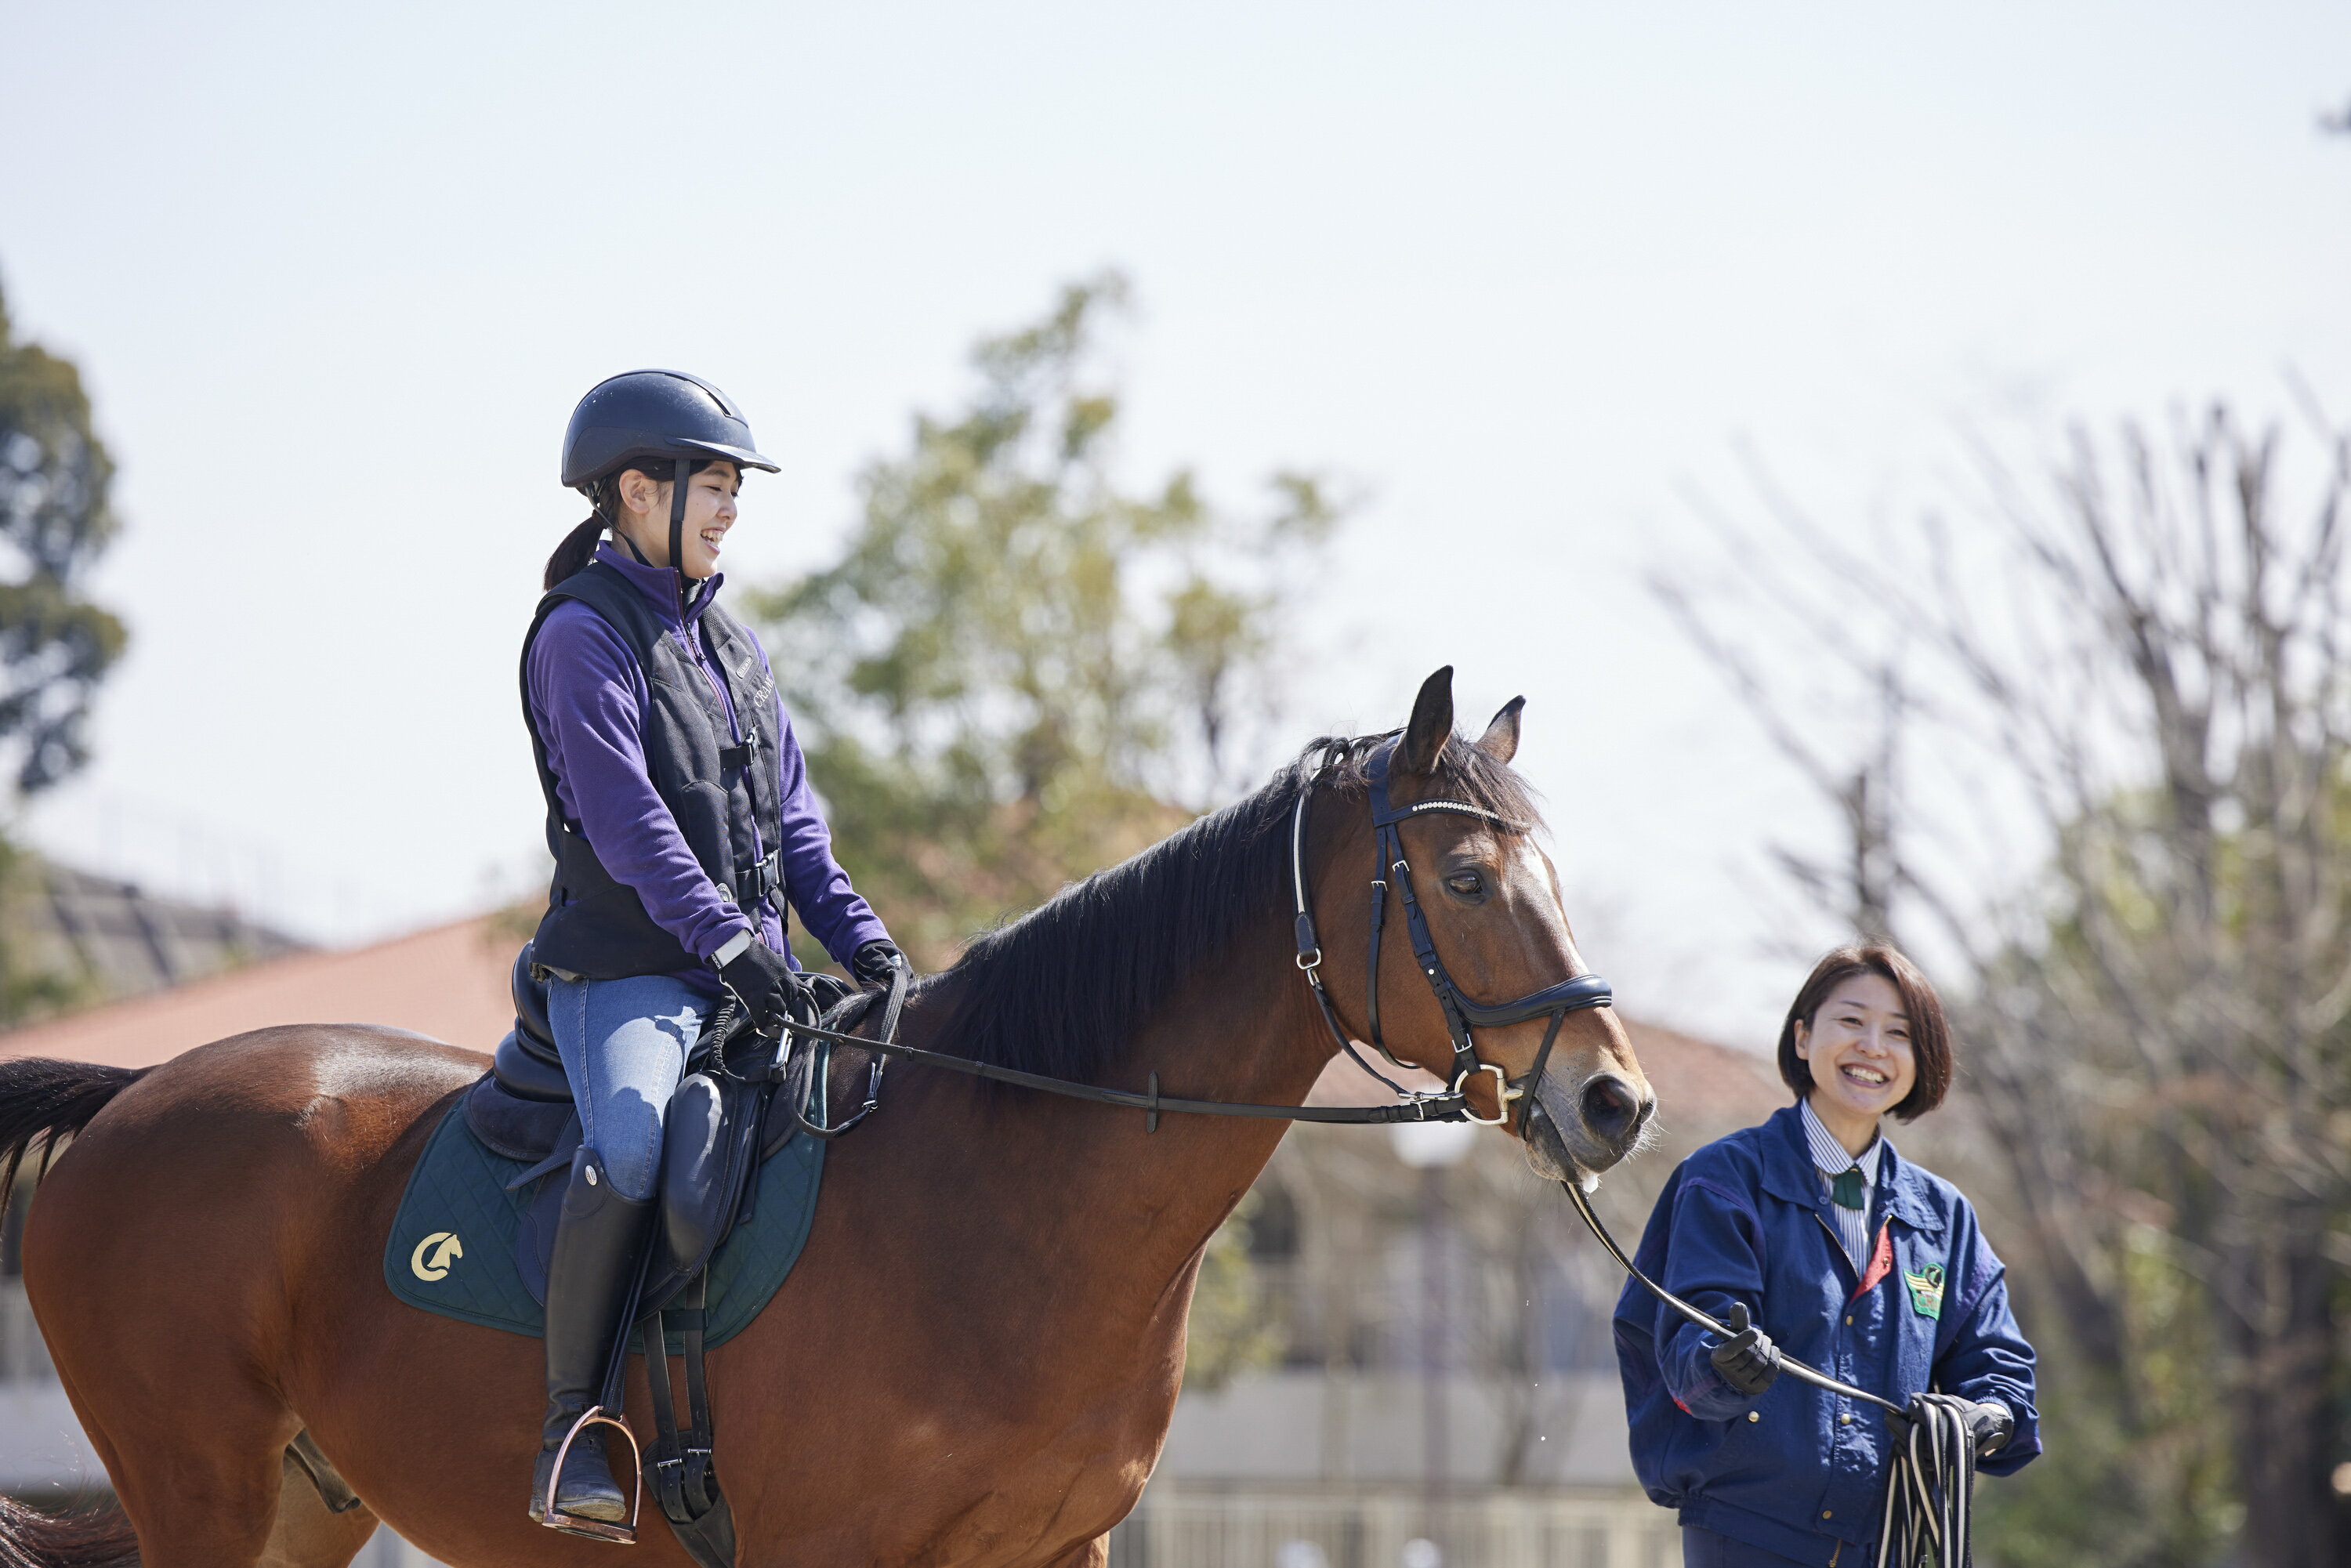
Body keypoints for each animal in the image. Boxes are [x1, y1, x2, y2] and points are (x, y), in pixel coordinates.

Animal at [0, 672, 1655, 1568]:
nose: (1614, 1098)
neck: (1003, 1200)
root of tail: (140, 1097)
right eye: (1463, 879)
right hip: (202, 1494)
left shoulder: (1059, 1546)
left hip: (301, 1503)